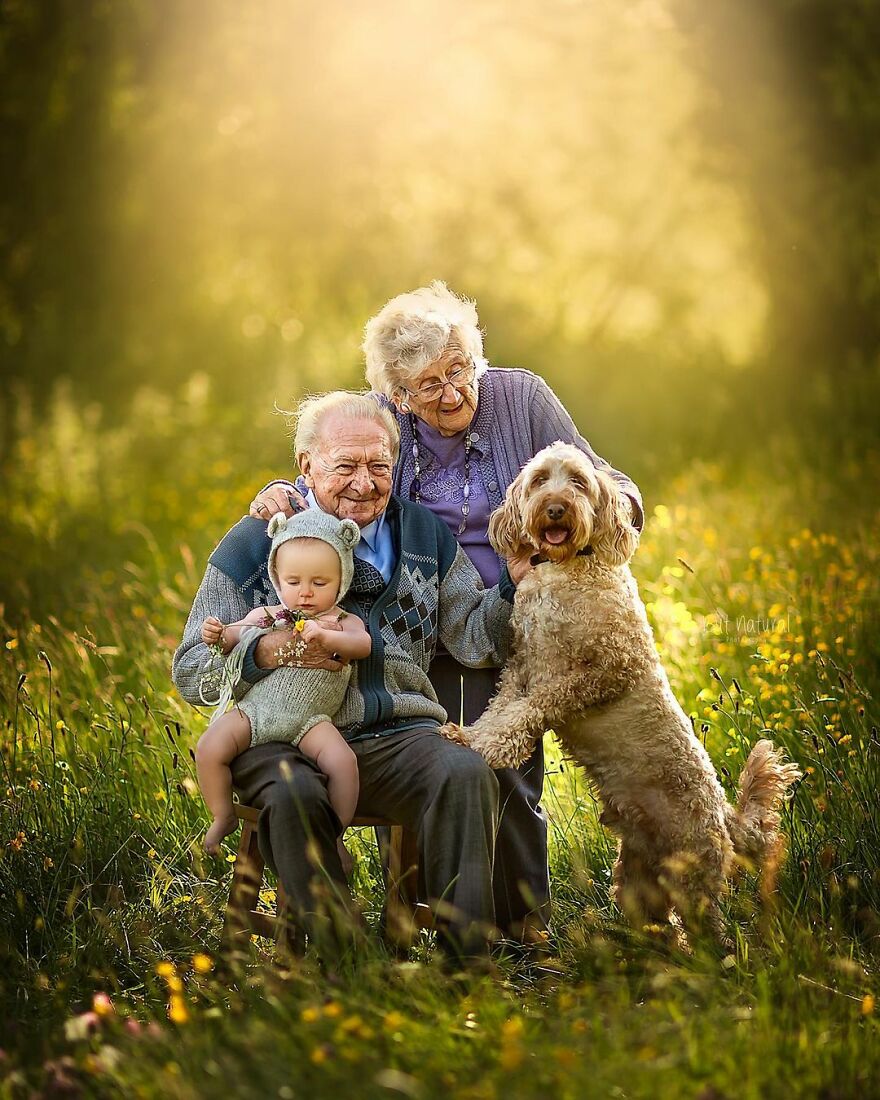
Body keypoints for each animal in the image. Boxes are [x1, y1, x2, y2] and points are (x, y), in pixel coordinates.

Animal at [444, 442, 800, 941]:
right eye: (540, 480)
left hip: (693, 876)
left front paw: (492, 747)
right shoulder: (521, 666)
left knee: (710, 935)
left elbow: (532, 708)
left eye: (578, 481)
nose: (556, 508)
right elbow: (502, 709)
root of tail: (725, 814)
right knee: (661, 927)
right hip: (636, 882)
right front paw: (472, 737)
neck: (566, 568)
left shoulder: (602, 670)